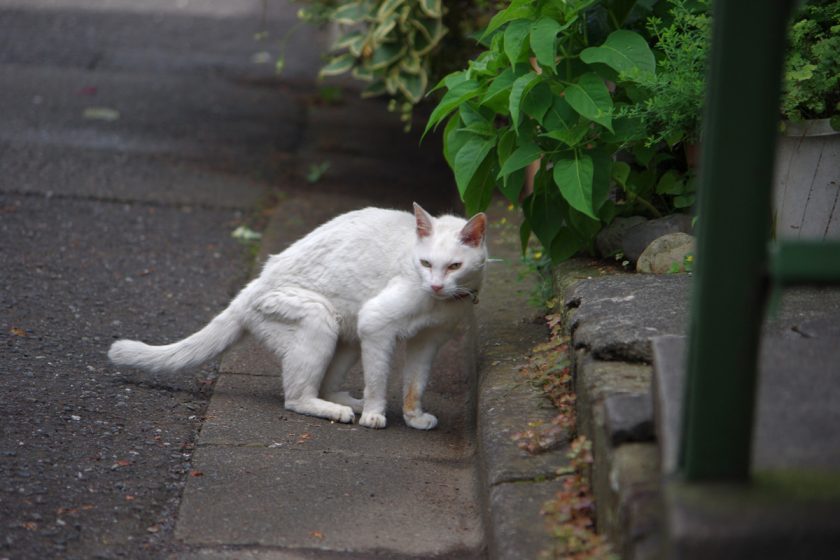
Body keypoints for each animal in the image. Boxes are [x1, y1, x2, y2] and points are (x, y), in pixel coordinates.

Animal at [112, 203, 492, 430]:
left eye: (454, 266)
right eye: (426, 263)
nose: (436, 285)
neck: (439, 302)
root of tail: (254, 284)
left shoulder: (429, 341)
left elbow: (416, 383)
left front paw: (413, 417)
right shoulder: (376, 322)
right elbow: (378, 379)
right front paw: (374, 414)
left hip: (346, 333)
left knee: (324, 383)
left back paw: (344, 401)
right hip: (318, 318)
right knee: (295, 397)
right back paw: (340, 411)